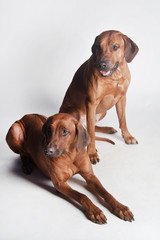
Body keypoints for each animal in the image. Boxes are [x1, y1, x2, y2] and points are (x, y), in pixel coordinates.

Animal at [5, 113, 134, 224]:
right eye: (49, 130)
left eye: (65, 131)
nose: (47, 151)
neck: (69, 155)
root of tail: (25, 116)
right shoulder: (60, 184)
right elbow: (82, 195)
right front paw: (95, 211)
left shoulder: (89, 175)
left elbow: (106, 192)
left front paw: (120, 207)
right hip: (15, 129)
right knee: (22, 153)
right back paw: (26, 164)